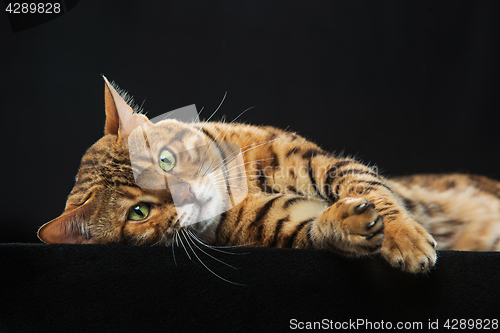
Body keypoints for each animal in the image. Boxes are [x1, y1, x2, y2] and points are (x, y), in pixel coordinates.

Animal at [37, 78, 500, 272]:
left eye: (165, 160)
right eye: (138, 213)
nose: (186, 196)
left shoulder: (319, 161)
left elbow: (370, 186)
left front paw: (403, 236)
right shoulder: (279, 224)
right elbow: (315, 228)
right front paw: (348, 225)